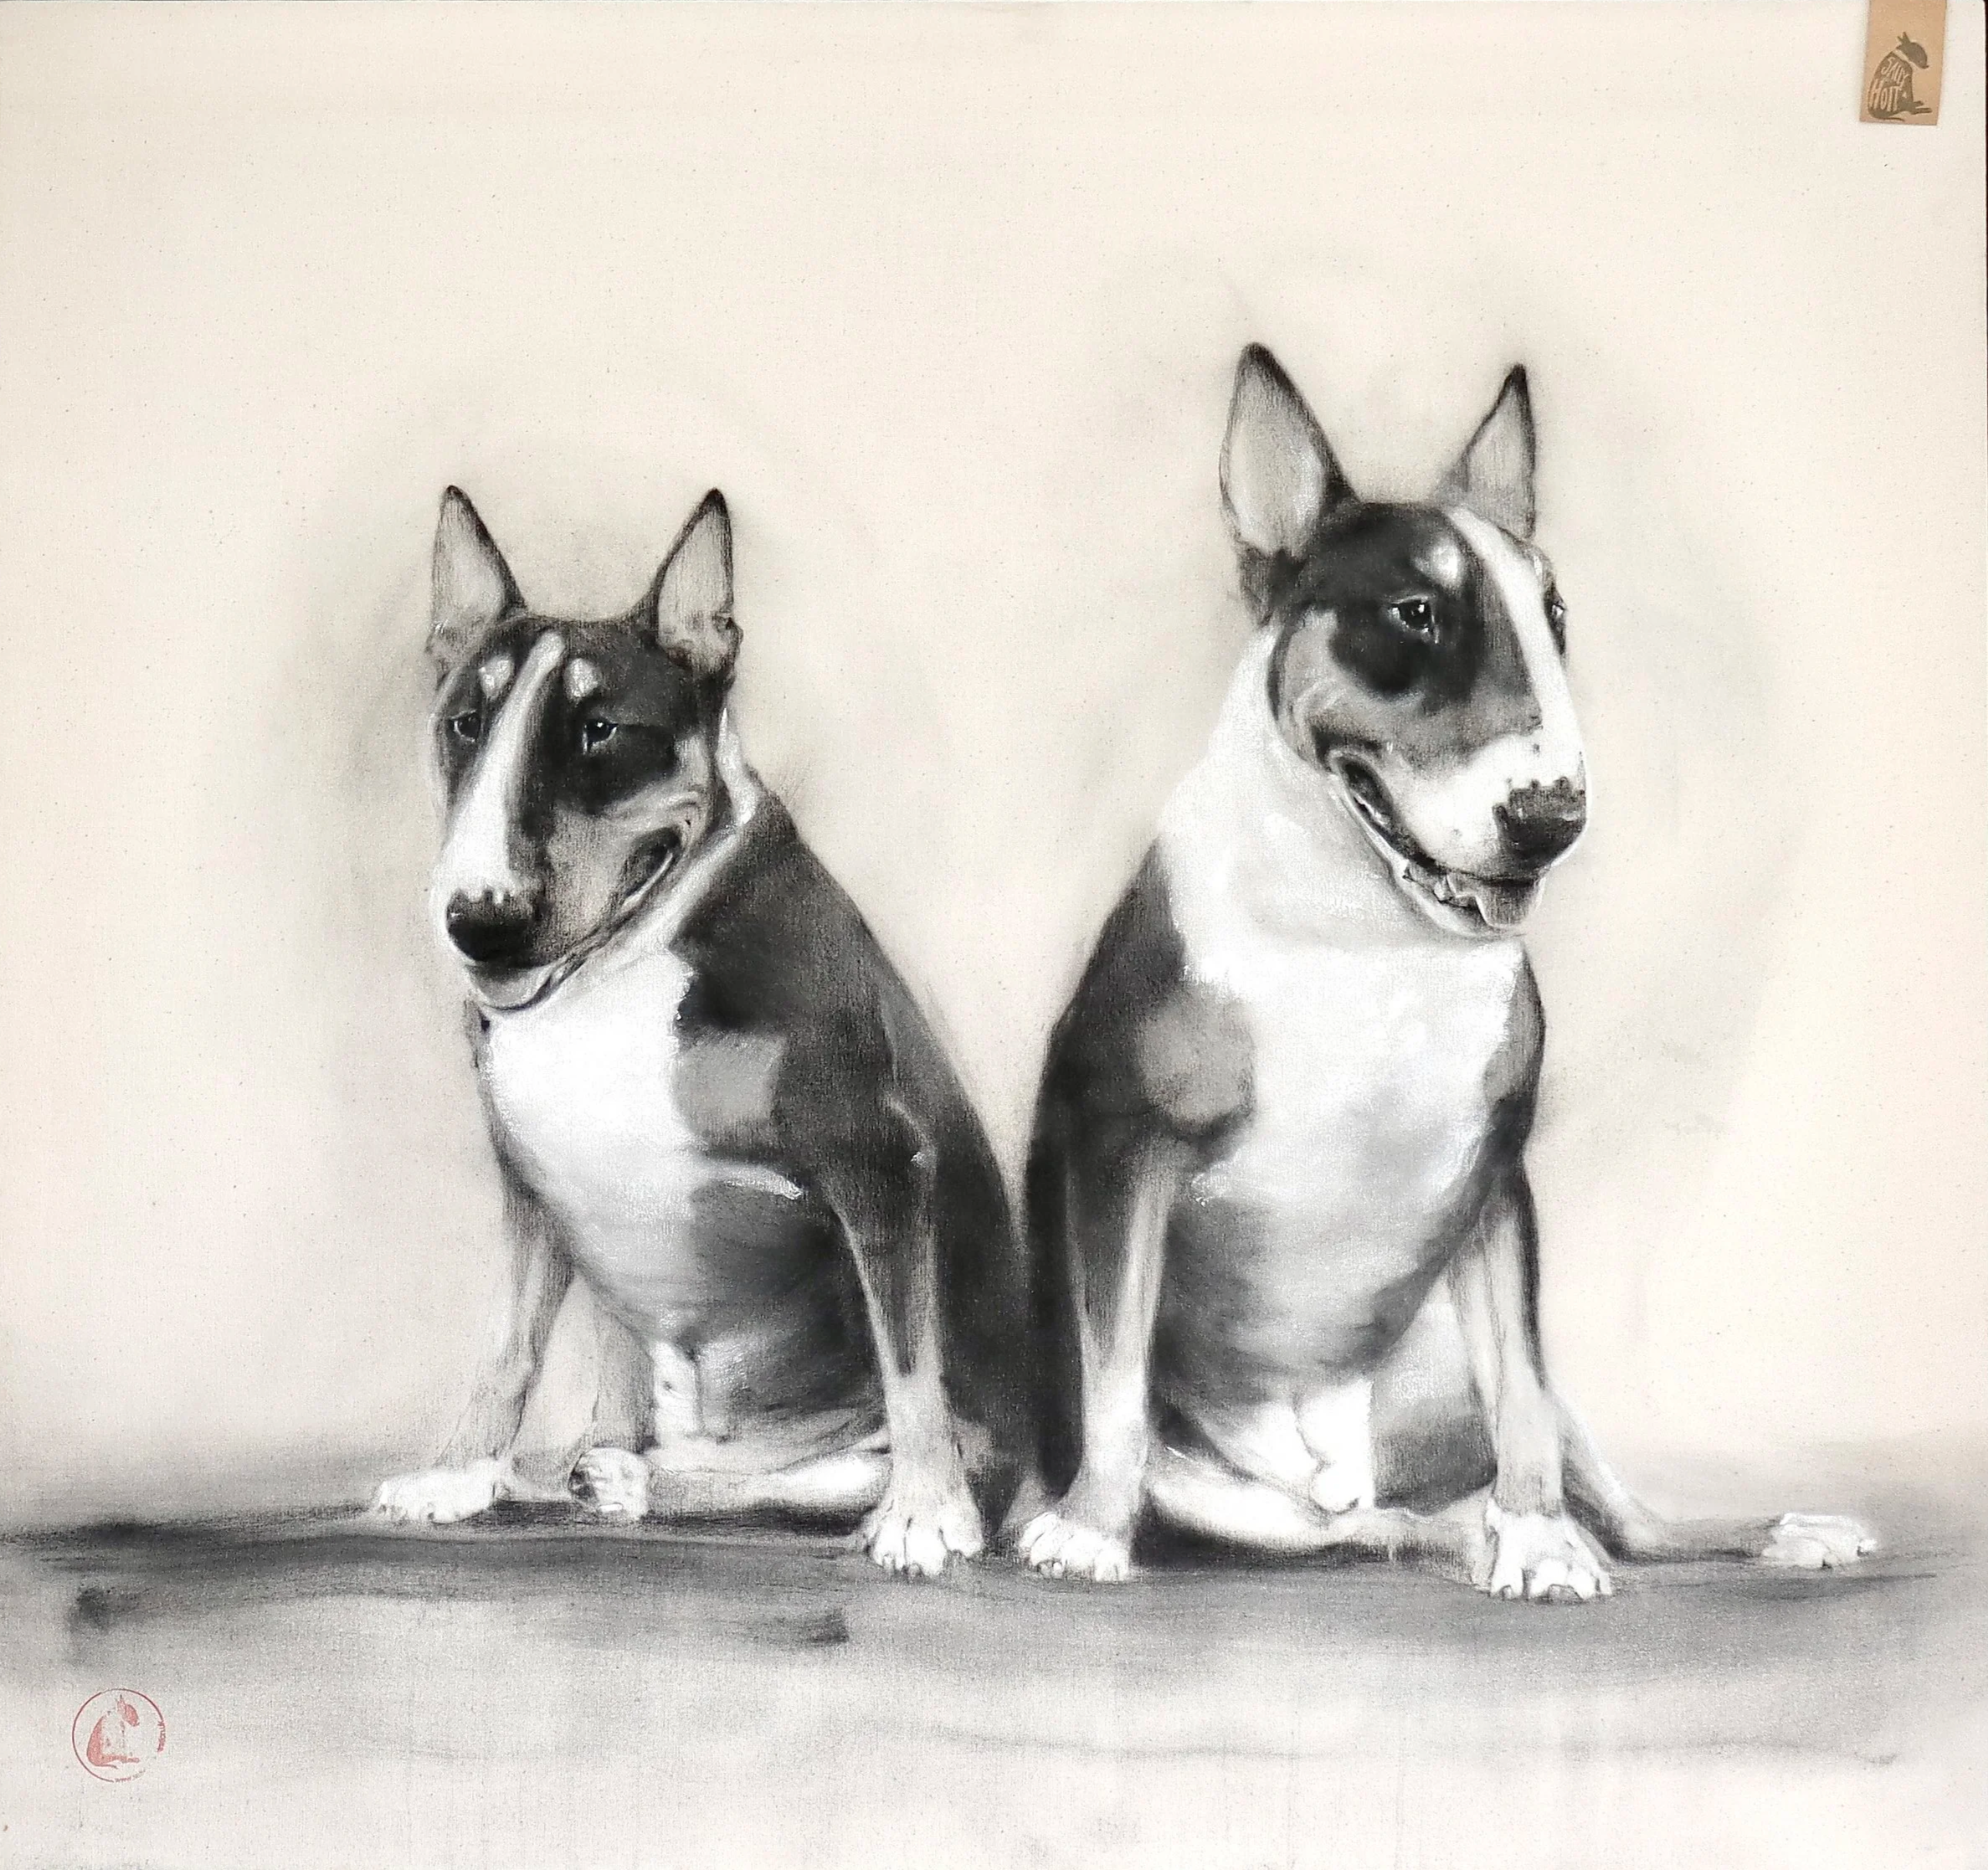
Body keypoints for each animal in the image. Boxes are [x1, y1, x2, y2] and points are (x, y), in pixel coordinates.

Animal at [371, 487, 1030, 1576]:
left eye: (602, 729)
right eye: (466, 722)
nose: (483, 921)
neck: (613, 979)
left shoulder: (879, 1158)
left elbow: (908, 1357)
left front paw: (925, 1513)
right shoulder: (529, 1179)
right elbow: (508, 1343)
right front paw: (457, 1472)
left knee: (816, 1474)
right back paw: (593, 1469)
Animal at [1018, 345, 1877, 1597]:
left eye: (1552, 614)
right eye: (1414, 614)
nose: (1550, 821)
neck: (1363, 935)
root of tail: (1337, 1495)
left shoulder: (1496, 1177)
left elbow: (1517, 1384)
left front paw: (1539, 1541)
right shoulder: (1121, 1151)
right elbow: (1112, 1371)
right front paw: (1085, 1527)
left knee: (1616, 1507)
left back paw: (1741, 1530)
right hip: (1259, 1498)